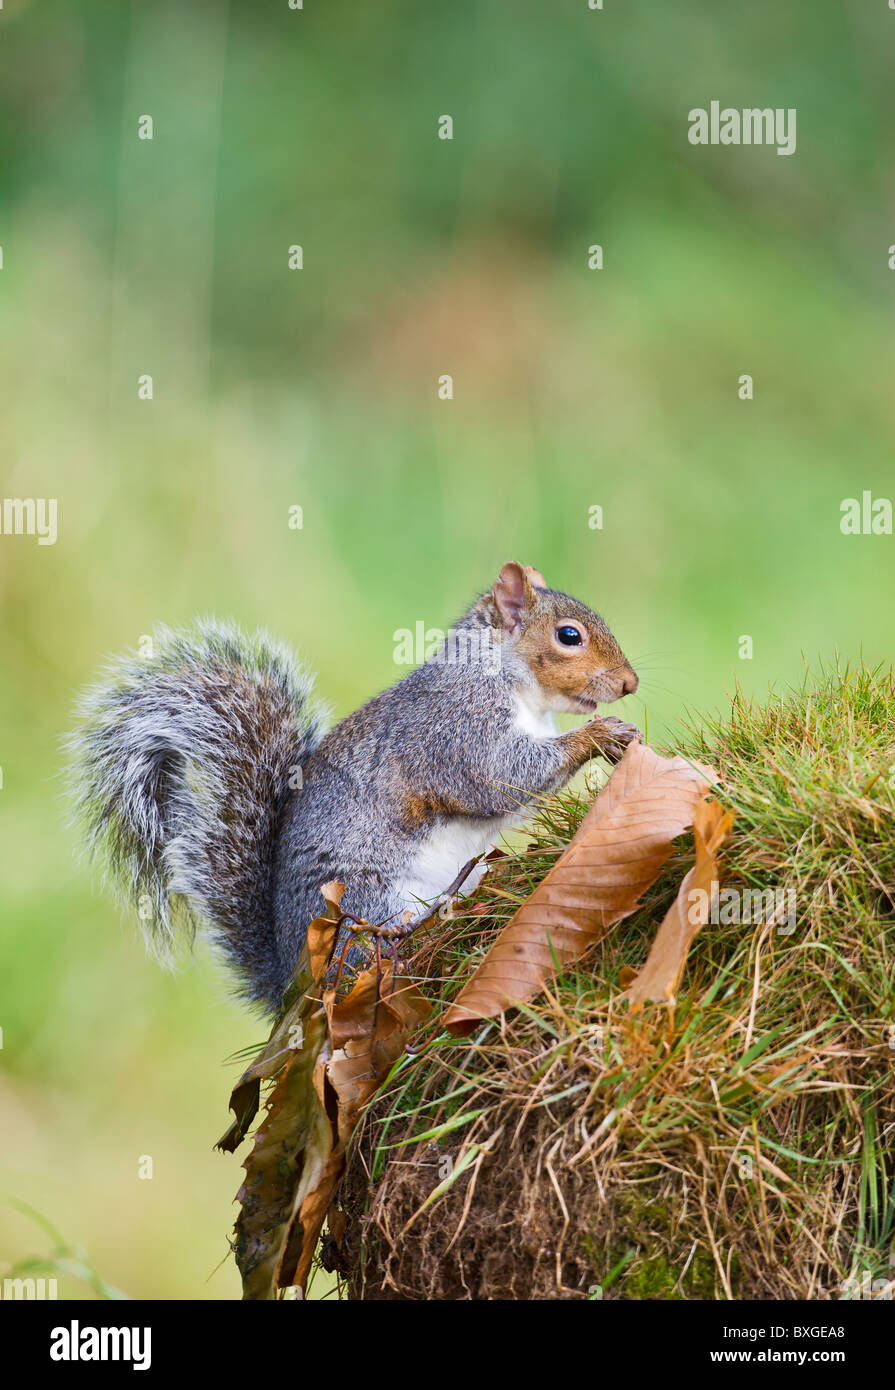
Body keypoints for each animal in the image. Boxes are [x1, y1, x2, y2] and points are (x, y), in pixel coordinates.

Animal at [71, 561, 642, 1011]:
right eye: (569, 636)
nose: (630, 684)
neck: (502, 675)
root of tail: (290, 985)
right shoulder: (457, 729)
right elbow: (500, 777)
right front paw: (598, 736)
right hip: (365, 901)